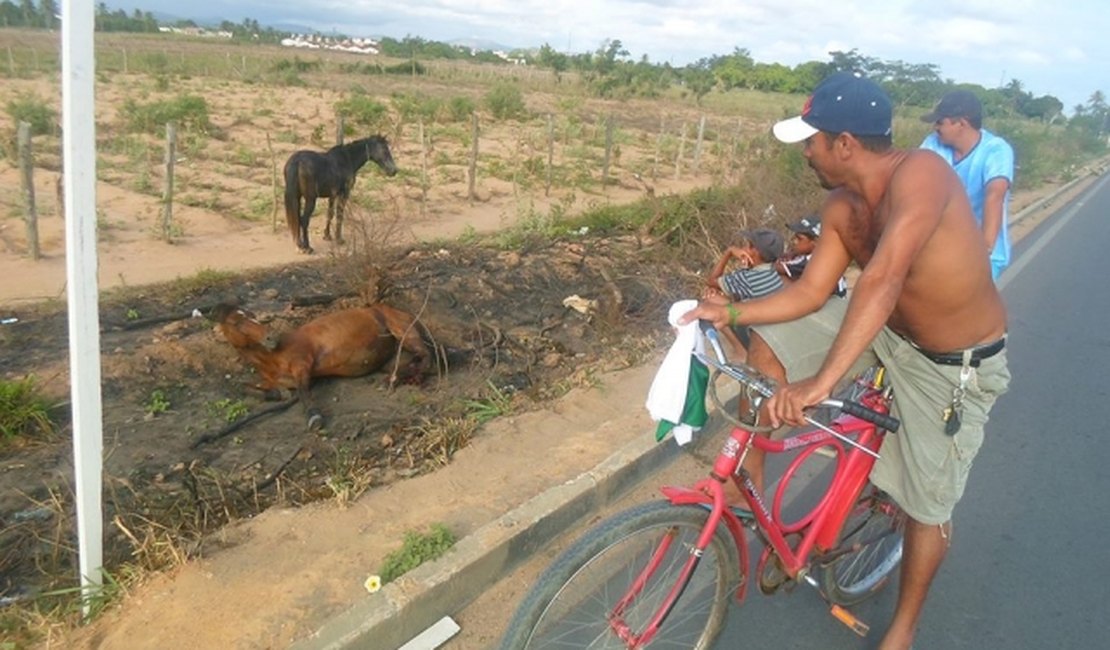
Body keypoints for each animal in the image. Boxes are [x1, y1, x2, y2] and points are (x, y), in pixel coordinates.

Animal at [209, 303, 430, 430]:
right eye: (235, 322)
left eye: (252, 315)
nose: (270, 337)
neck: (273, 357)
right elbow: (242, 387)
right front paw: (277, 394)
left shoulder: (303, 365)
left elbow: (304, 390)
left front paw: (314, 416)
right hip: (391, 355)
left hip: (404, 332)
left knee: (427, 355)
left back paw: (395, 379)